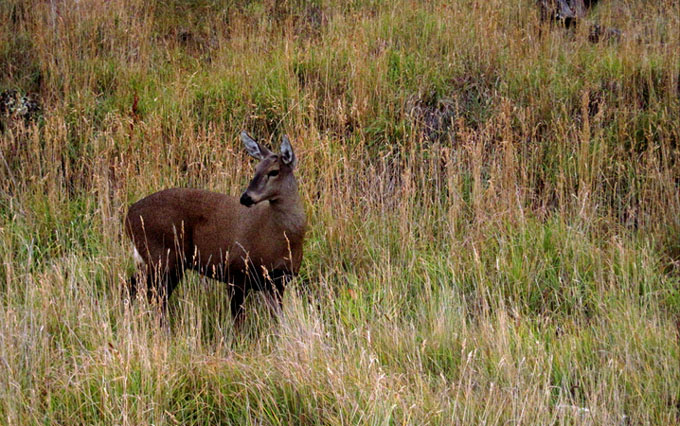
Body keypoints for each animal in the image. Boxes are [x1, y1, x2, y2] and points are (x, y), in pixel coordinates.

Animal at [123, 132, 306, 326]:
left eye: (274, 171)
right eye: (256, 169)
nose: (246, 197)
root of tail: (129, 216)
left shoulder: (278, 280)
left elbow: (279, 321)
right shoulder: (235, 270)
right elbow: (238, 322)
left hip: (154, 261)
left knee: (132, 288)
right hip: (164, 257)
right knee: (155, 299)